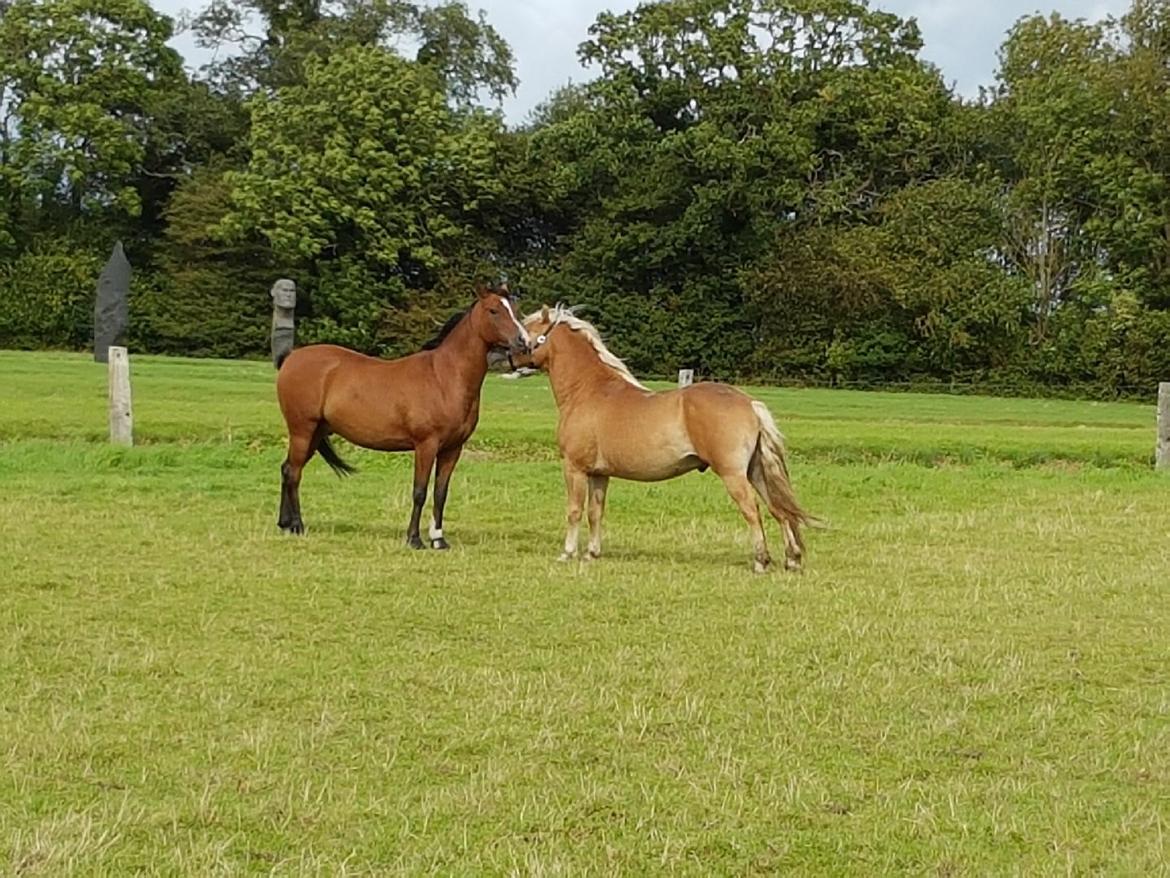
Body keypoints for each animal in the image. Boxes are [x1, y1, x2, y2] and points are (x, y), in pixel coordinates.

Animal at [273, 286, 531, 550]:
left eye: (515, 309)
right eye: (493, 310)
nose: (524, 342)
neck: (443, 377)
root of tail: (291, 357)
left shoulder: (452, 449)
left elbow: (441, 493)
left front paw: (439, 539)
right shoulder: (426, 445)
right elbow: (420, 491)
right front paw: (414, 539)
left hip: (316, 434)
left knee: (287, 469)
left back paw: (285, 524)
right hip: (302, 431)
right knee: (294, 473)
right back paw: (297, 526)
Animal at [512, 306, 814, 573]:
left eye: (525, 331)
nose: (510, 359)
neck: (589, 391)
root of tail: (749, 403)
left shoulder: (574, 468)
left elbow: (574, 510)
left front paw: (567, 553)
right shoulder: (600, 473)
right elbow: (595, 512)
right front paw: (592, 554)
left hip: (733, 474)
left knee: (753, 511)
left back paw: (761, 561)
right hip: (755, 470)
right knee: (778, 509)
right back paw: (792, 559)